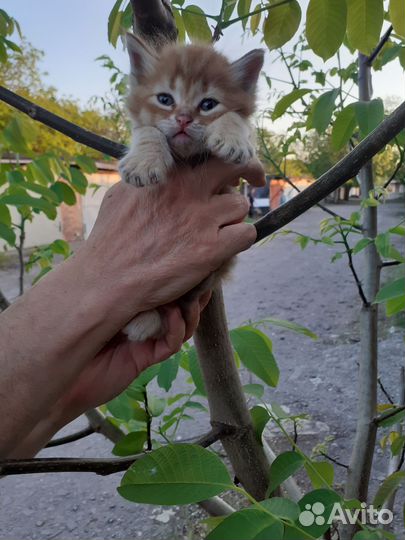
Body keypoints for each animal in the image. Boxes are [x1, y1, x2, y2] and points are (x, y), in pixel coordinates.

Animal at [119, 33, 266, 340]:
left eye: (208, 104)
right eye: (165, 99)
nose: (184, 118)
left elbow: (237, 119)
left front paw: (232, 138)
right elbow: (146, 130)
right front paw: (143, 161)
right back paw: (142, 319)